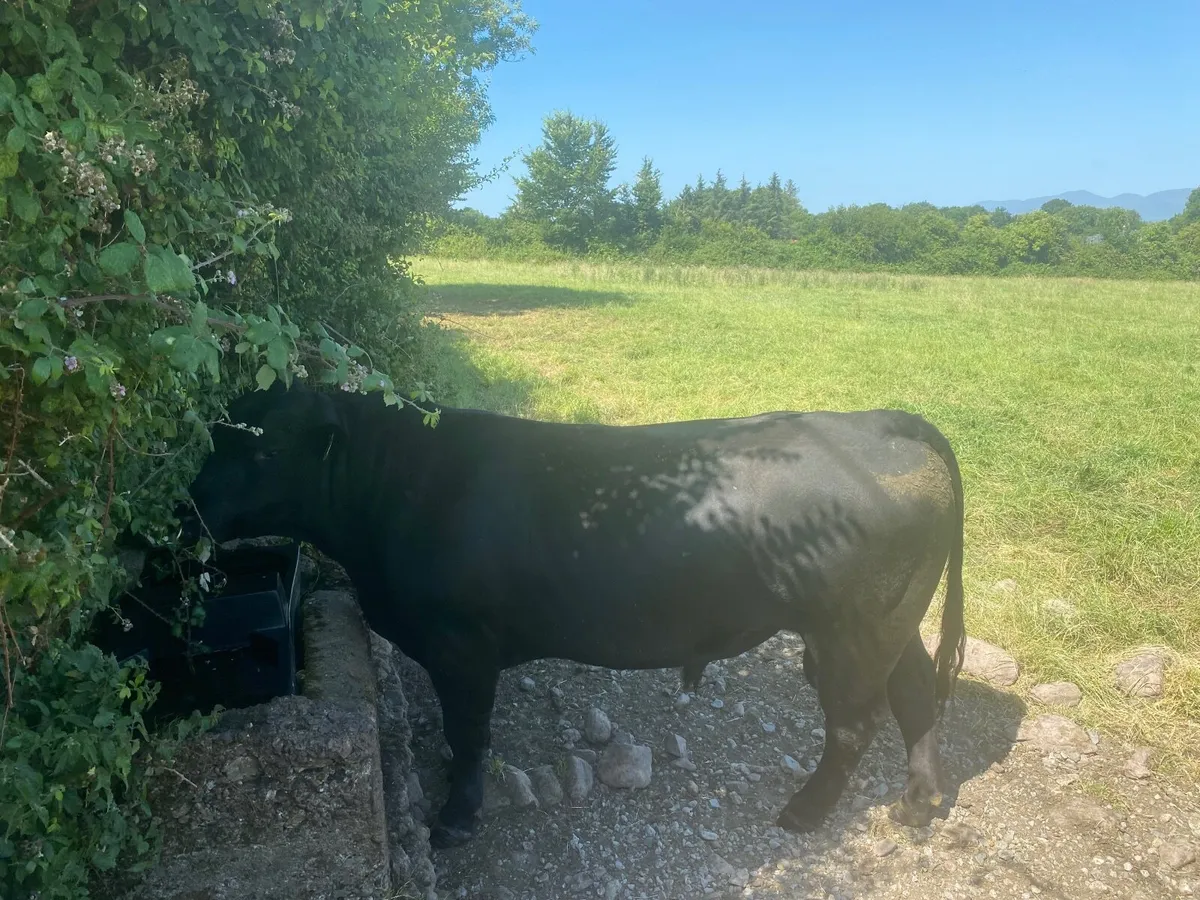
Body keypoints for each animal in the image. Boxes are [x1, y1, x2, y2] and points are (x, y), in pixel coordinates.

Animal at [183, 380, 967, 849]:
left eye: (257, 446)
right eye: (217, 433)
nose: (188, 500)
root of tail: (883, 421)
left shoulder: (461, 645)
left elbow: (469, 733)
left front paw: (456, 817)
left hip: (853, 631)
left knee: (855, 724)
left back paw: (807, 811)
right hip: (891, 622)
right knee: (916, 692)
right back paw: (920, 798)